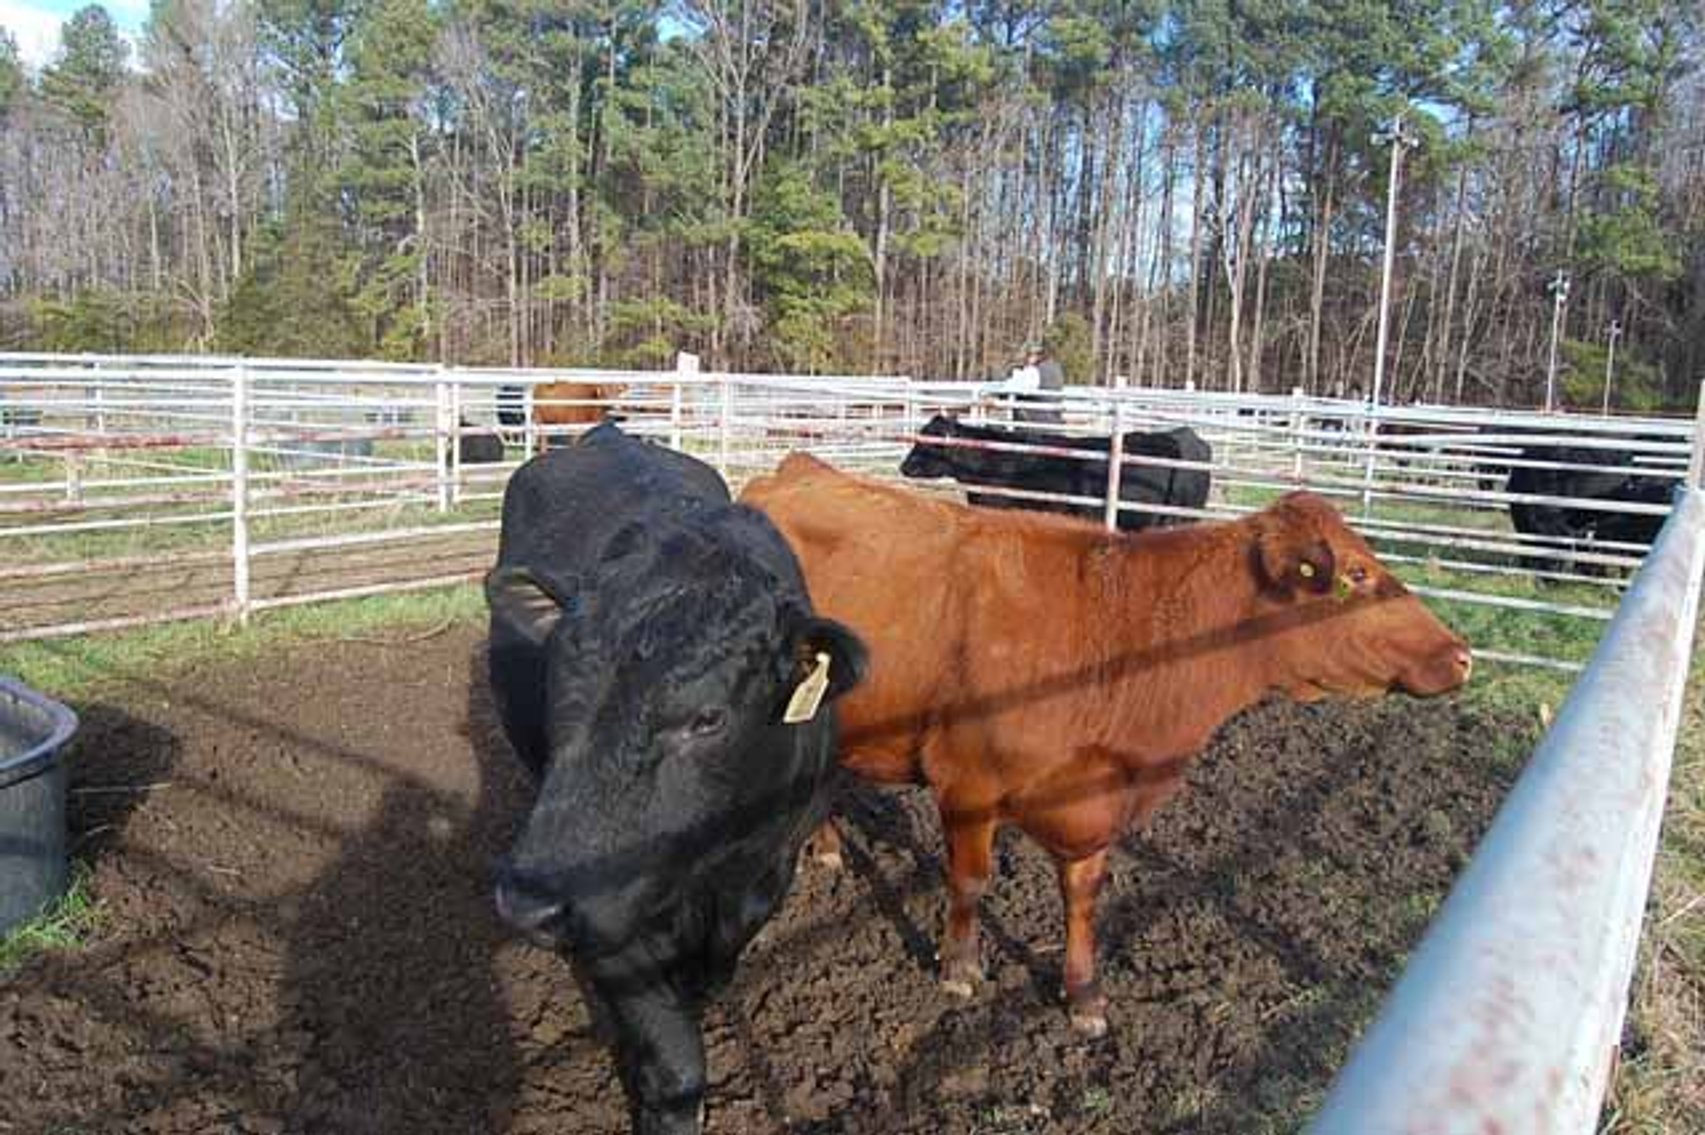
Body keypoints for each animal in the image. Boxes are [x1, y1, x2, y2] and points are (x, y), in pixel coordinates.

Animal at [487, 424, 866, 1134]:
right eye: (555, 685)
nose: (526, 902)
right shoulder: (610, 911)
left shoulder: (771, 863)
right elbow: (674, 1058)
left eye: (708, 717)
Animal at [741, 456, 1470, 1036]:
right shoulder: (967, 784)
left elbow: (1083, 895)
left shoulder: (1093, 806)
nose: (1461, 654)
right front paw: (959, 969)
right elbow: (970, 882)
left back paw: (826, 847)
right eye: (1357, 573)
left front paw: (1085, 996)